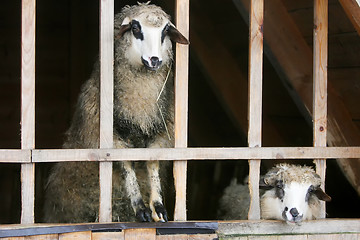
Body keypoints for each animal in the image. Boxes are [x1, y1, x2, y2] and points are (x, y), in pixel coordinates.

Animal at [44, 1, 190, 223]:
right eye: (136, 28)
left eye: (165, 31)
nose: (155, 60)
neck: (140, 102)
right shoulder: (110, 137)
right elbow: (126, 164)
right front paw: (140, 208)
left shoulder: (161, 132)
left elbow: (153, 161)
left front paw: (157, 207)